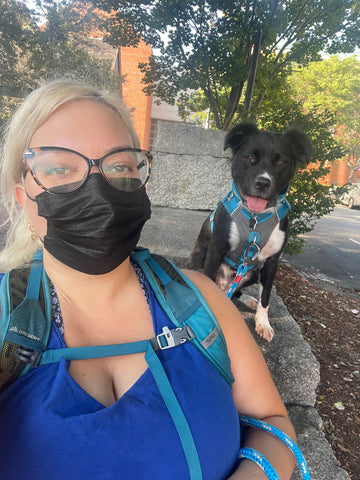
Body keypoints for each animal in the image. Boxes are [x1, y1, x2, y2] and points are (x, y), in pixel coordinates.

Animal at [187, 124, 310, 342]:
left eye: (281, 162)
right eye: (250, 157)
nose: (263, 183)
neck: (255, 219)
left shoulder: (271, 262)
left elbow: (266, 297)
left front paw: (263, 323)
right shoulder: (216, 249)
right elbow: (208, 279)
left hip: (252, 273)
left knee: (237, 290)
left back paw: (247, 299)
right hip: (198, 257)